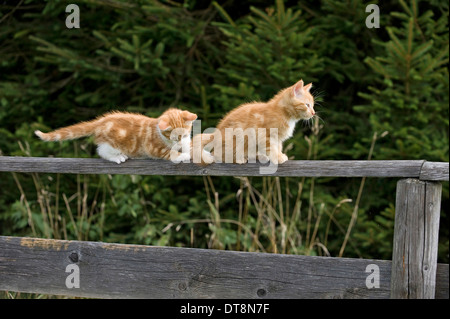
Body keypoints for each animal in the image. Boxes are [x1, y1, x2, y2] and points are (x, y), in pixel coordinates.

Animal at [35, 109, 197, 165]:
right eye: (175, 136)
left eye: (185, 134)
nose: (180, 140)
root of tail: (101, 121)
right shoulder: (152, 147)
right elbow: (168, 153)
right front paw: (182, 156)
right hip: (112, 143)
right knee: (102, 151)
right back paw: (117, 157)